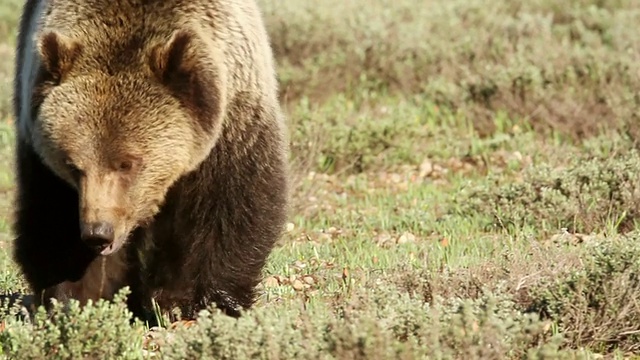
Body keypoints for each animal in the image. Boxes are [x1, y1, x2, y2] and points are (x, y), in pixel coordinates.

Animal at [11, 0, 290, 324]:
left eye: (128, 163)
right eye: (72, 165)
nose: (98, 234)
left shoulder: (232, 120)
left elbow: (230, 210)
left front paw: (195, 301)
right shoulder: (42, 154)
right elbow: (51, 221)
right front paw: (77, 299)